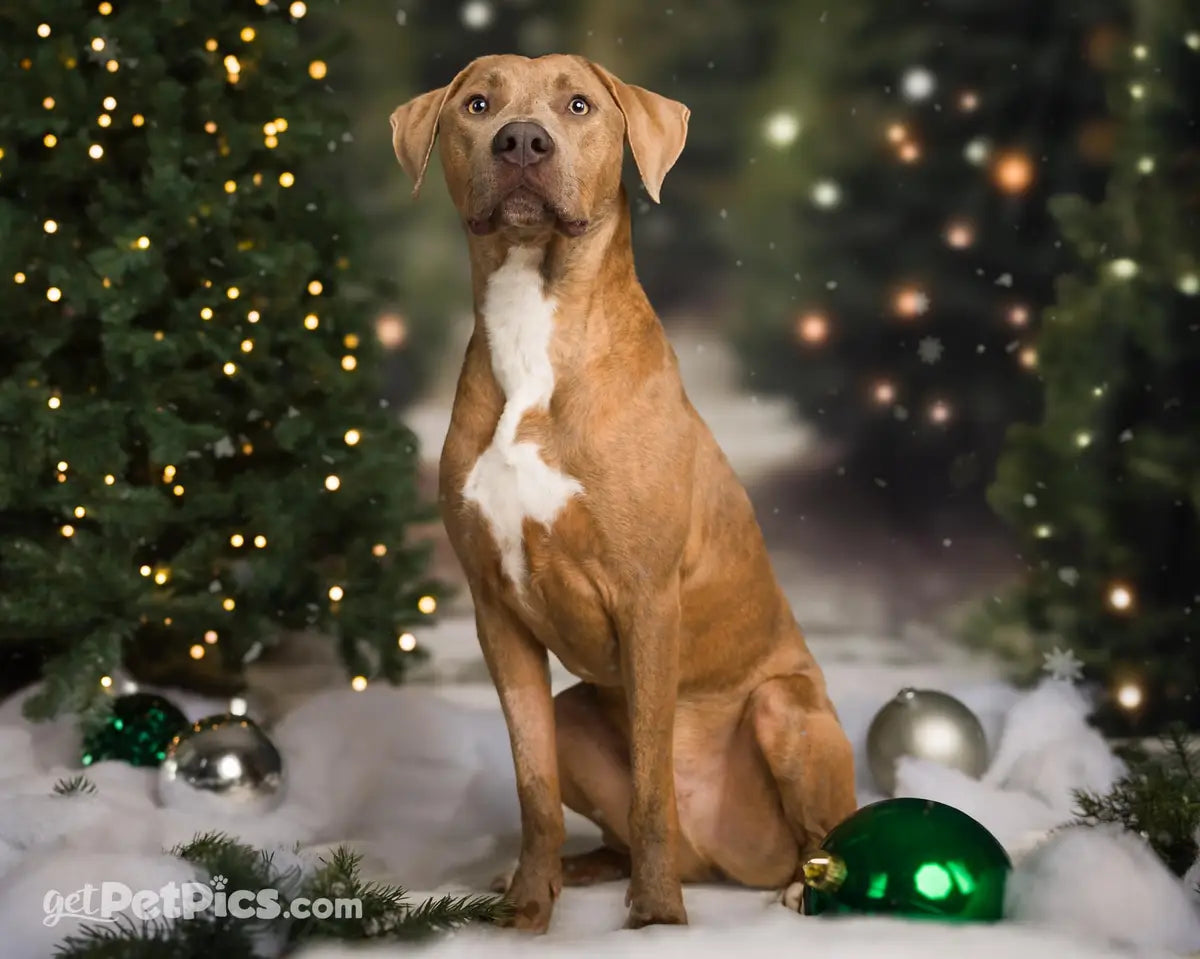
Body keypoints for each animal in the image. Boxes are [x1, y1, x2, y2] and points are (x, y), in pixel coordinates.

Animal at [391, 56, 854, 936]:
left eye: (578, 106)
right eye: (478, 104)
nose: (523, 141)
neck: (533, 323)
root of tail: (724, 858)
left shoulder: (646, 599)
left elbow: (650, 781)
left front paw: (657, 917)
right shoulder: (495, 612)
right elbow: (533, 784)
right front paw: (527, 907)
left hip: (784, 711)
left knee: (813, 833)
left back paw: (798, 888)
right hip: (577, 716)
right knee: (610, 820)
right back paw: (574, 872)